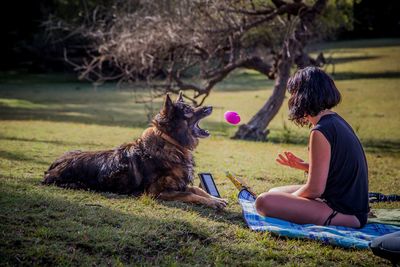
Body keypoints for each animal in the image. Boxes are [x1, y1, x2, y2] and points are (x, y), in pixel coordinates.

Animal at [43, 93, 228, 210]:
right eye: (188, 111)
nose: (210, 107)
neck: (171, 142)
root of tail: (52, 167)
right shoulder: (157, 192)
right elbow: (190, 194)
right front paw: (213, 203)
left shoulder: (180, 184)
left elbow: (198, 189)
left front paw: (216, 198)